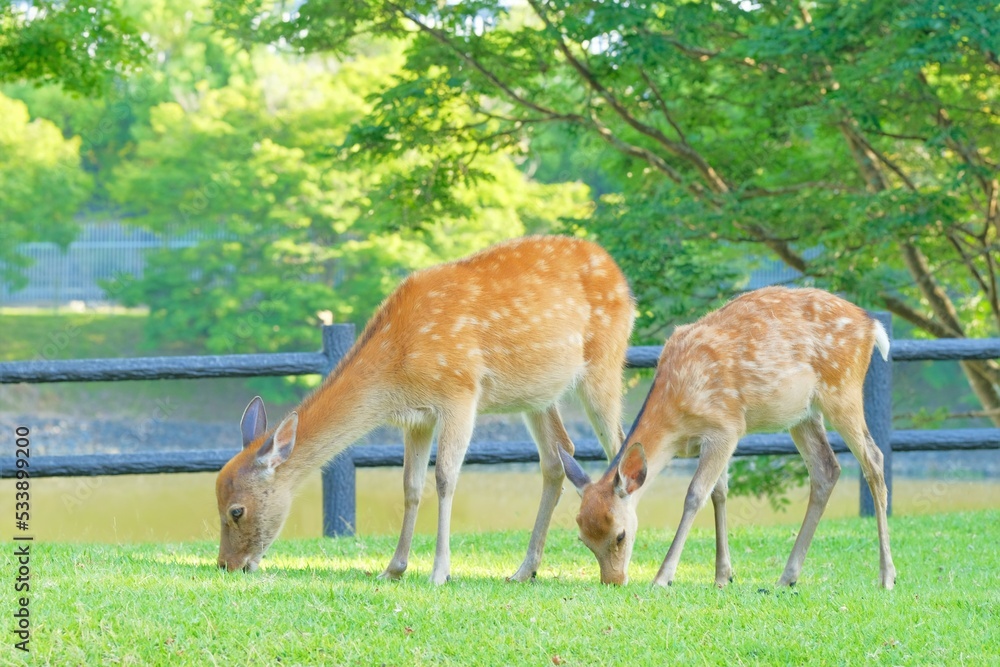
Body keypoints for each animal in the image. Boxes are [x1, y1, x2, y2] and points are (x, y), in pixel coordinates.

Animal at [215, 235, 635, 584]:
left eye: (236, 510)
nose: (226, 564)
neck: (395, 370)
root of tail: (621, 277)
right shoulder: (416, 418)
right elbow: (411, 486)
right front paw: (393, 568)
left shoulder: (460, 393)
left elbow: (445, 478)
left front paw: (439, 572)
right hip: (537, 394)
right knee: (557, 456)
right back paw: (524, 570)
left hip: (606, 362)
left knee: (620, 447)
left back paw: (624, 560)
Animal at [560, 286, 896, 589]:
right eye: (583, 539)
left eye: (620, 535)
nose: (613, 582)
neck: (676, 419)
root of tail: (872, 326)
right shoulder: (713, 438)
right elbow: (718, 493)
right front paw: (723, 576)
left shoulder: (726, 426)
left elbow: (695, 495)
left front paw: (663, 578)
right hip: (803, 414)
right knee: (826, 469)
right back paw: (787, 577)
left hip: (843, 390)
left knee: (874, 458)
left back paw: (887, 577)